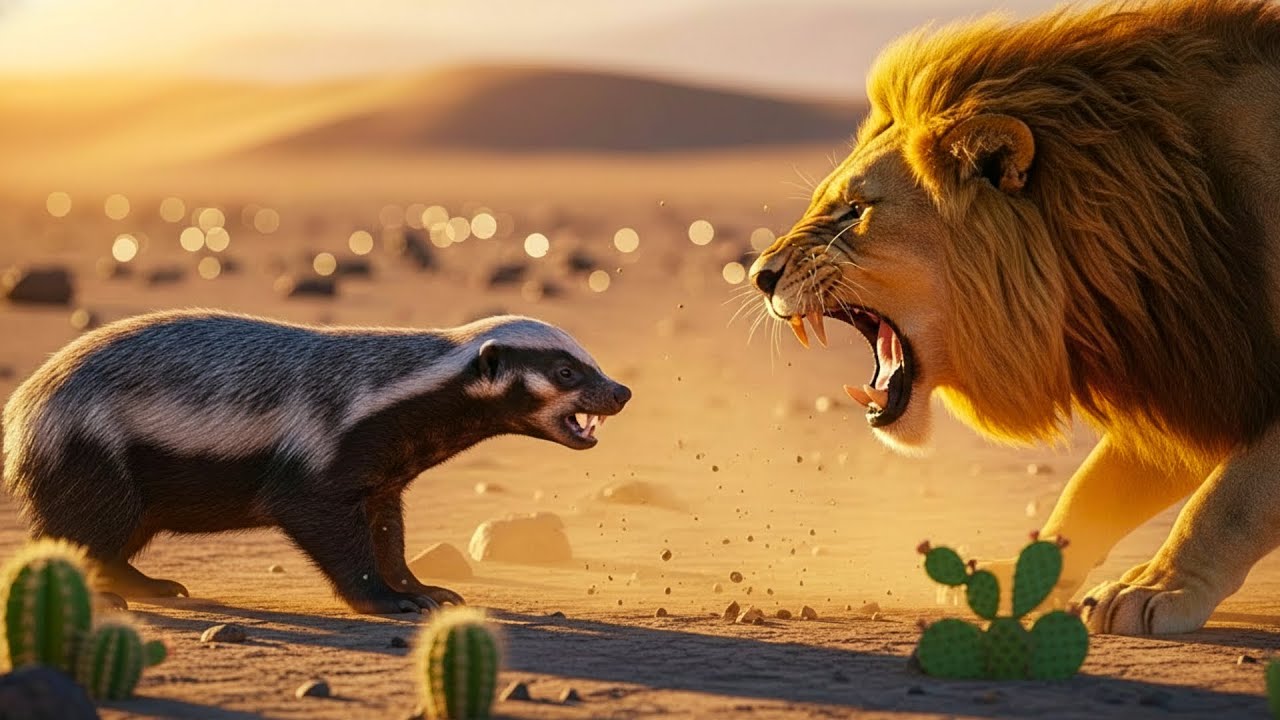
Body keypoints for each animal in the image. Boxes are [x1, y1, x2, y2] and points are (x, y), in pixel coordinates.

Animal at [748, 0, 1280, 635]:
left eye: (855, 211)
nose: (759, 274)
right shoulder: (1184, 373)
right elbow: (1092, 488)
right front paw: (1022, 575)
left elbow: (1228, 500)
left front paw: (1158, 587)